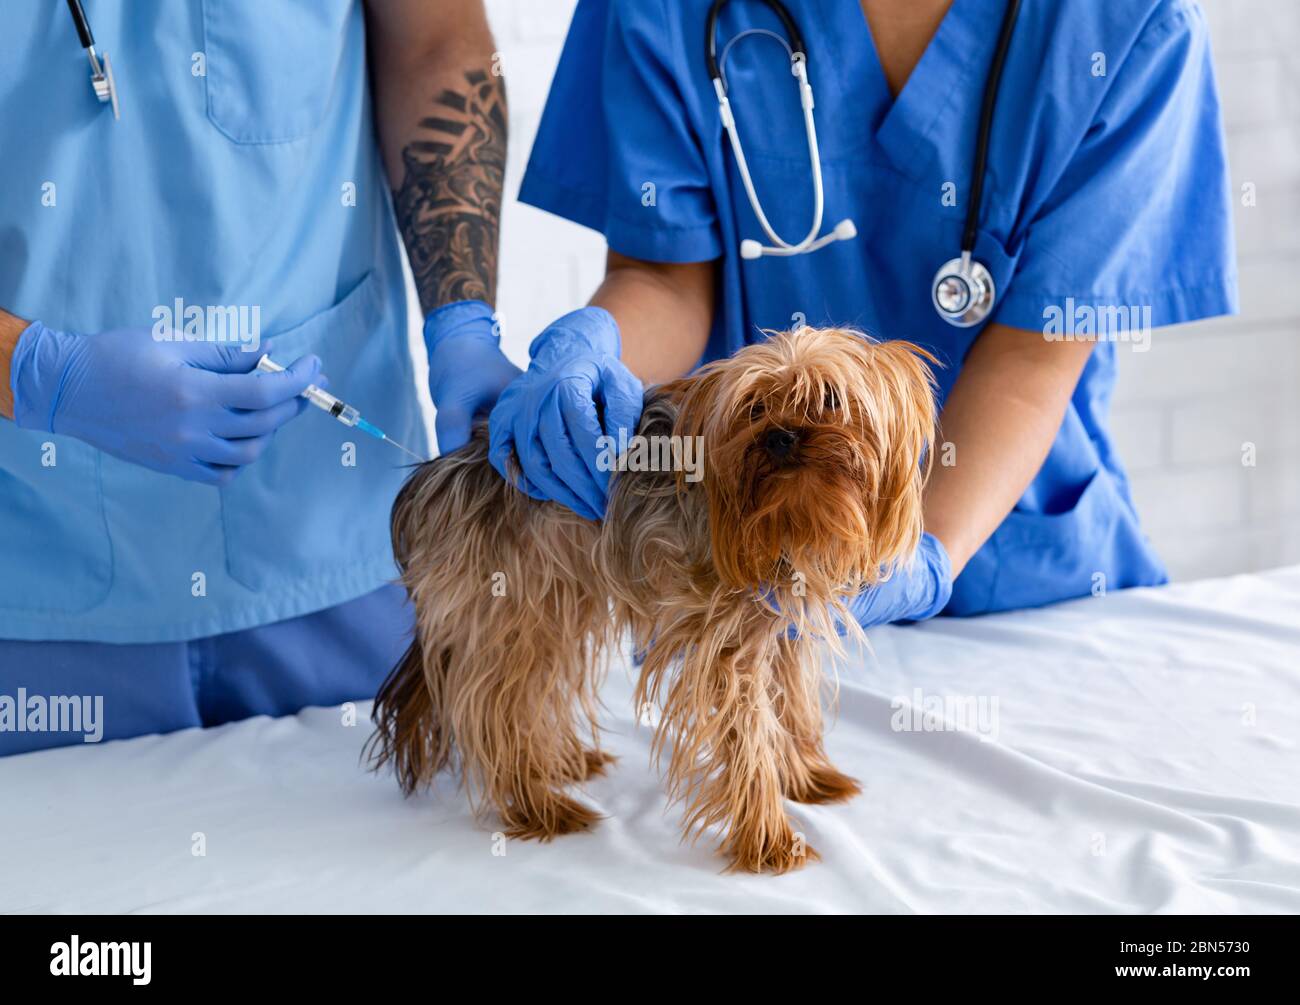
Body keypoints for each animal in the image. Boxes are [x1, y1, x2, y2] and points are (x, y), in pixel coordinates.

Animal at [369, 327, 935, 868]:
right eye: (754, 408)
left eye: (831, 398)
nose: (780, 436)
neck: (788, 518)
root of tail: (431, 479)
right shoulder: (723, 645)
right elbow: (750, 734)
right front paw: (769, 838)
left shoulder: (778, 630)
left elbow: (789, 704)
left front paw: (804, 777)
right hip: (509, 599)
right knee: (492, 707)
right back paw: (538, 804)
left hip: (557, 595)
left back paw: (563, 762)